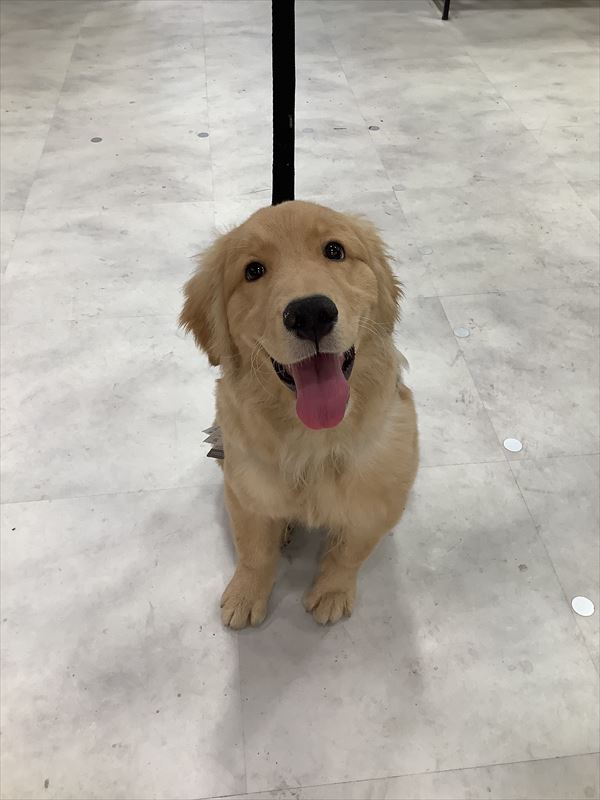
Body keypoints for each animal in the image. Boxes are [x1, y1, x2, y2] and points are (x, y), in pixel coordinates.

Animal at [180, 200, 418, 628]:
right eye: (253, 270)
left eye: (335, 250)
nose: (310, 313)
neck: (315, 437)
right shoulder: (245, 490)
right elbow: (254, 551)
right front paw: (245, 595)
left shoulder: (376, 502)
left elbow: (349, 552)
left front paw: (332, 593)